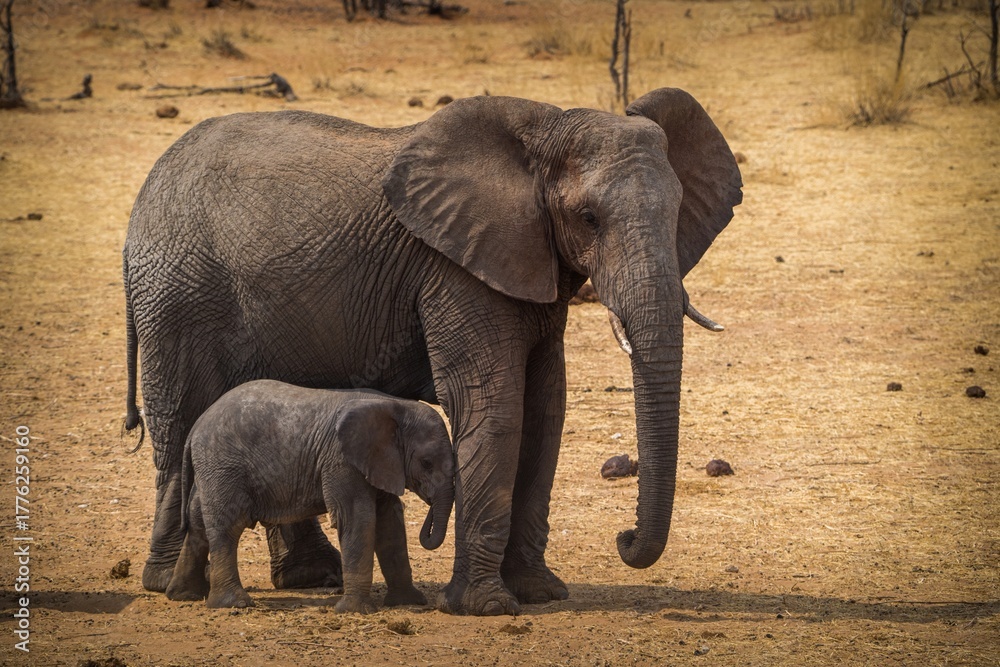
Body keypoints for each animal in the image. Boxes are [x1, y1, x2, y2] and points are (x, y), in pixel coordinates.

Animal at [164, 380, 455, 612]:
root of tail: (196, 426)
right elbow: (356, 518)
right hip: (223, 466)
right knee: (228, 525)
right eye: (427, 463)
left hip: (213, 469)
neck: (396, 407)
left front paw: (409, 602)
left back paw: (183, 595)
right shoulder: (340, 461)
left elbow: (390, 523)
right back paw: (234, 604)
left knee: (198, 522)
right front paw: (354, 611)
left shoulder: (378, 462)